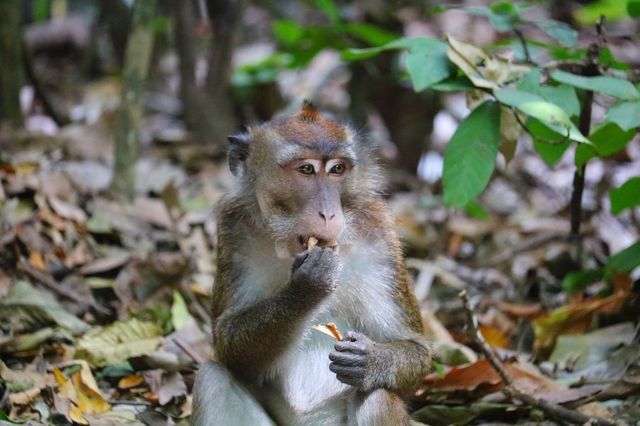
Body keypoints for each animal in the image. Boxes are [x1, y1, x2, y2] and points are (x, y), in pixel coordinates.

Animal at [190, 101, 430, 424]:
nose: (328, 213)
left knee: (375, 396)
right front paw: (306, 288)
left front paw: (371, 362)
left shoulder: (379, 235)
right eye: (306, 169)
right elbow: (227, 342)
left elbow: (417, 349)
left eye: (337, 169)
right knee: (212, 379)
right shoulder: (234, 230)